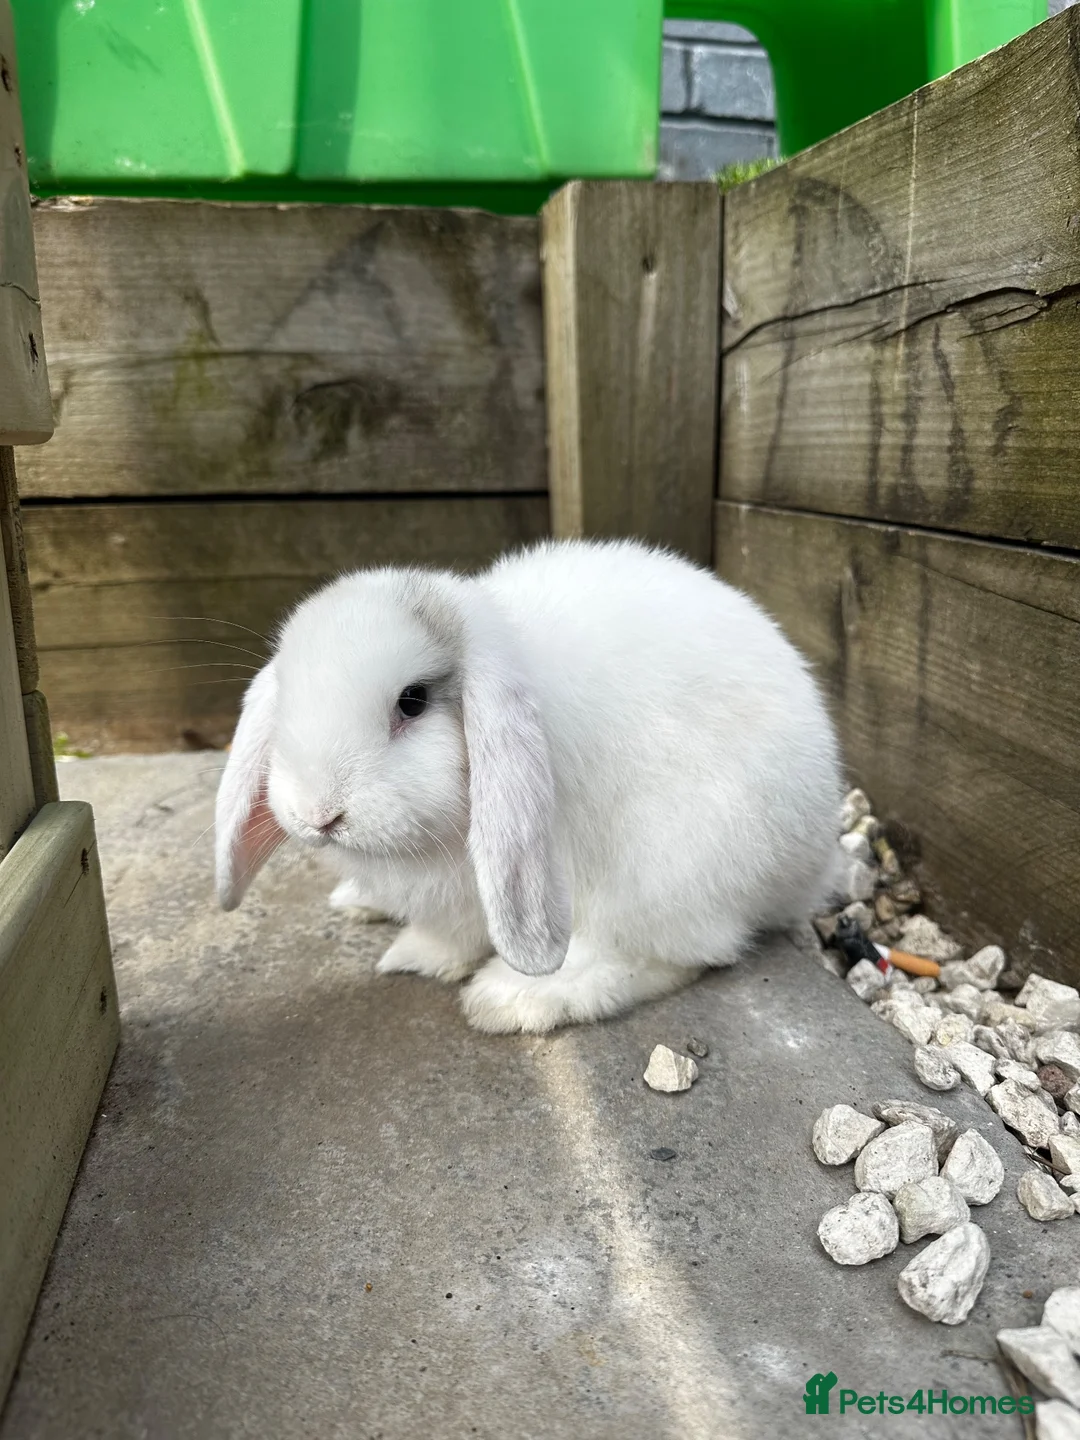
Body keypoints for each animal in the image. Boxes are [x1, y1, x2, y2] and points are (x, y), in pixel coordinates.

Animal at [215, 537, 842, 1034]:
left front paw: (430, 963)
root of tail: (808, 877)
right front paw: (415, 953)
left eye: (412, 701)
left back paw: (518, 998)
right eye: (287, 698)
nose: (319, 815)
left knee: (675, 954)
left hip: (669, 871)